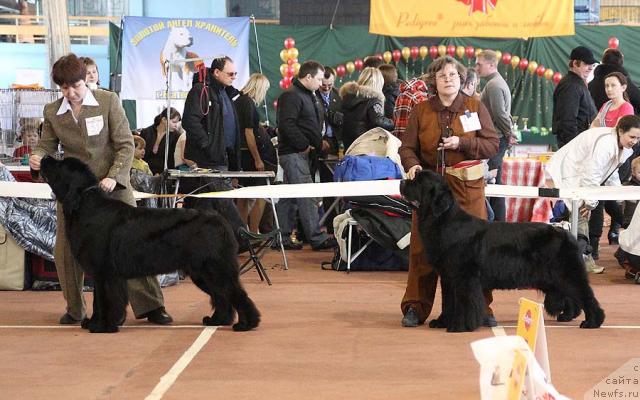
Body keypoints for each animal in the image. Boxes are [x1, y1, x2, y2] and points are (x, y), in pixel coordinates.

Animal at [40, 156, 258, 334]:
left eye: (59, 164)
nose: (44, 157)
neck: (84, 205)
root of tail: (220, 221)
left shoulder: (105, 272)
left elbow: (106, 300)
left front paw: (104, 326)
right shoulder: (99, 274)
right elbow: (98, 300)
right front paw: (94, 323)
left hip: (213, 268)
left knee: (235, 293)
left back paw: (247, 324)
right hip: (201, 272)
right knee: (222, 296)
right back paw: (217, 320)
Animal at [400, 170, 604, 332]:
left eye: (417, 181)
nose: (402, 181)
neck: (442, 221)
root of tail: (568, 234)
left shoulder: (465, 277)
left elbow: (464, 302)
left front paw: (460, 326)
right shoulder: (449, 277)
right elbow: (448, 301)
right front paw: (442, 322)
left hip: (566, 274)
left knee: (586, 295)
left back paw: (593, 322)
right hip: (552, 278)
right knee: (571, 296)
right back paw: (568, 315)